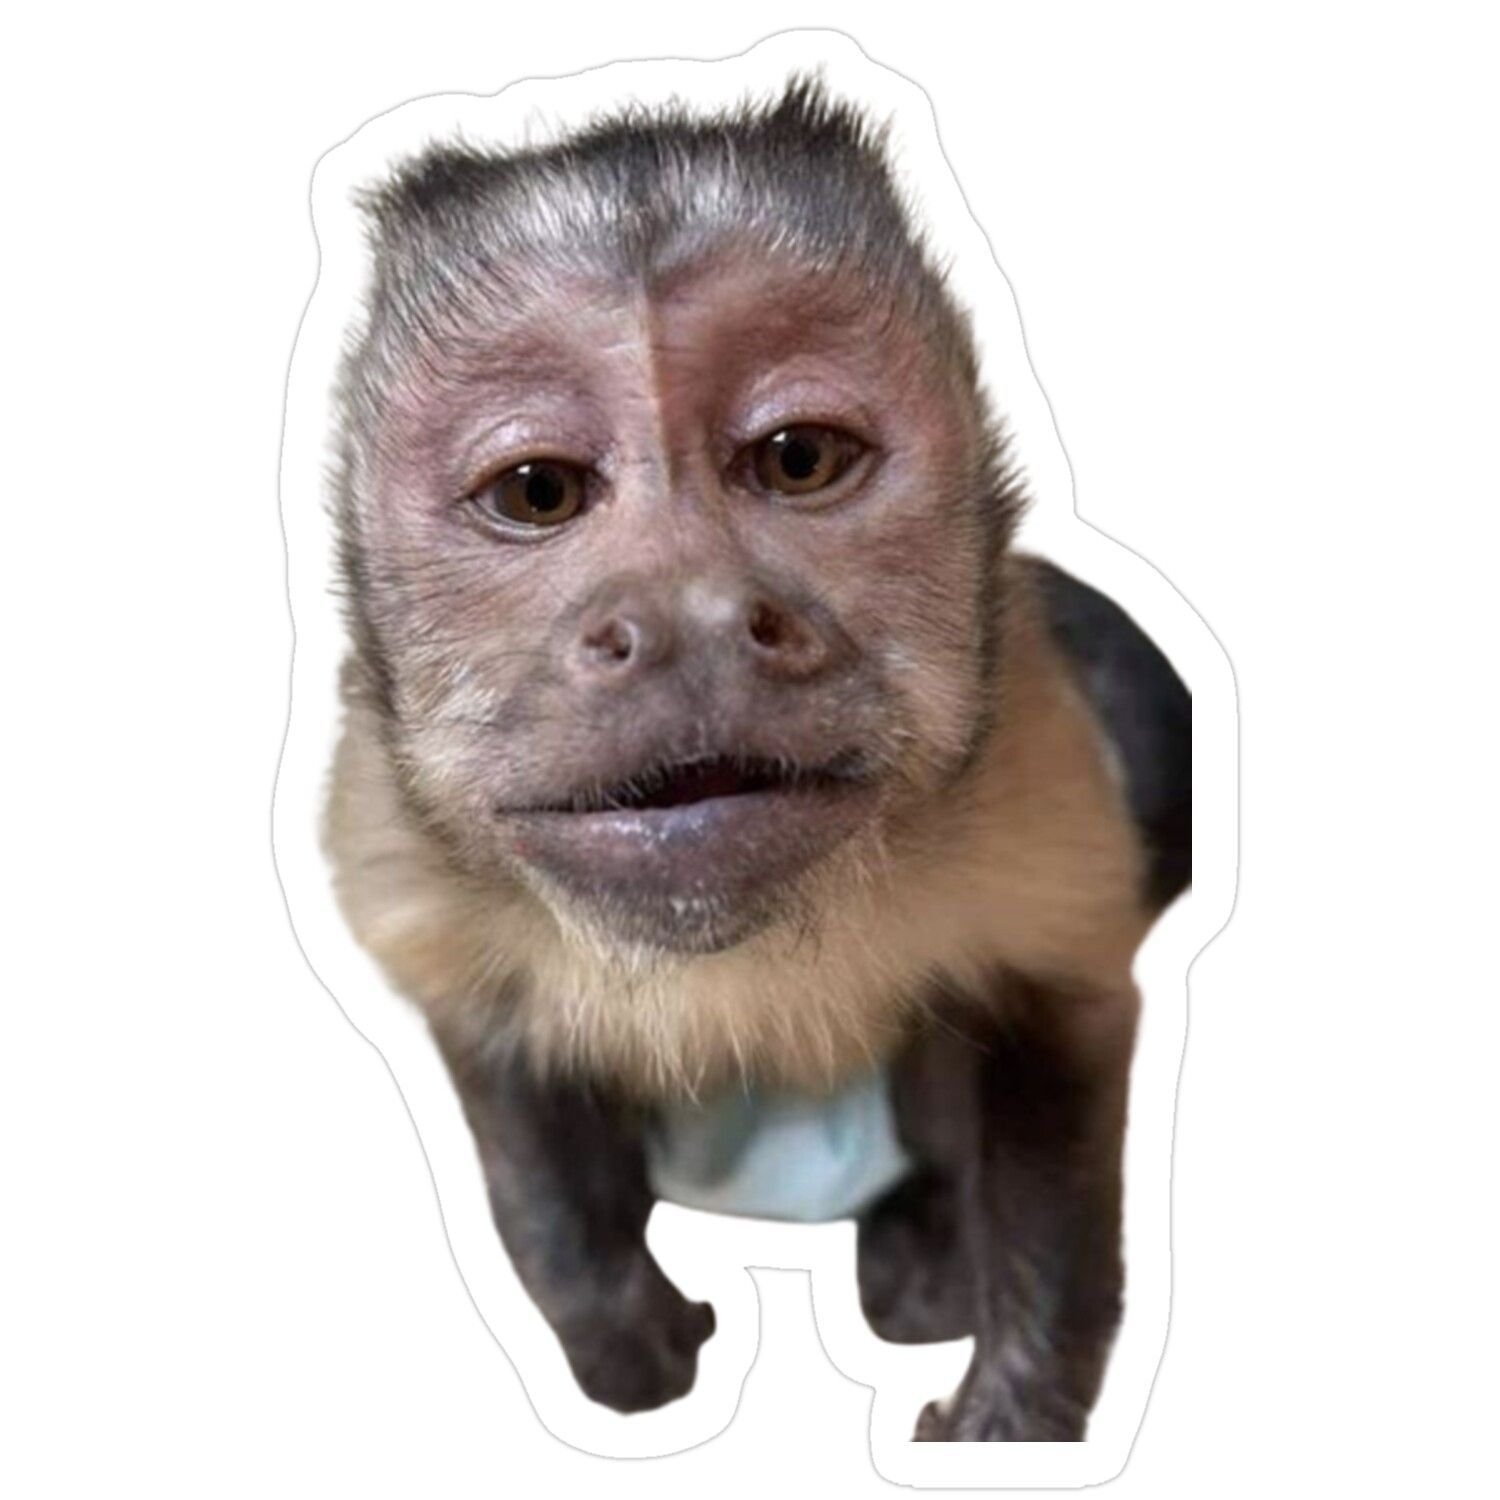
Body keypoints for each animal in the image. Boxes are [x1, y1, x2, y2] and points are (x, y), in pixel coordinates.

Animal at [322, 76, 1191, 1443]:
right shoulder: (390, 826)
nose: (689, 615)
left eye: (797, 459)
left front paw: (1011, 1418)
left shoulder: (1041, 756)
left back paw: (925, 1252)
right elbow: (504, 1067)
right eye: (536, 491)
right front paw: (622, 1340)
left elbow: (1055, 1024)